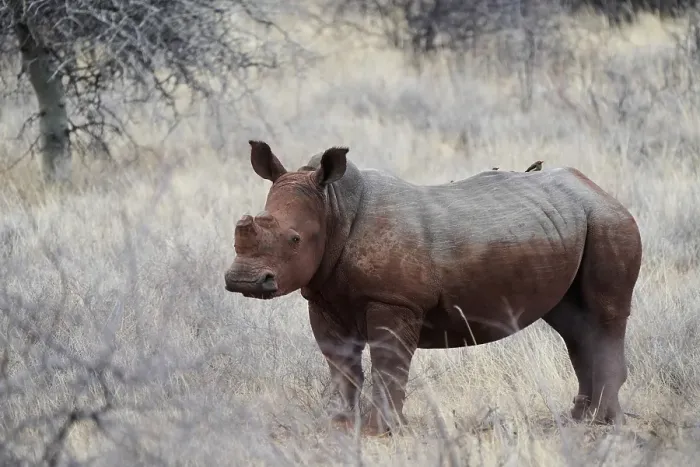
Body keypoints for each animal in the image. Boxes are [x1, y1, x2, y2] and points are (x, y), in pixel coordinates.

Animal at [224, 140, 643, 435]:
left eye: (295, 240)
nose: (243, 280)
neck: (333, 207)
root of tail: (601, 191)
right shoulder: (323, 296)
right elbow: (340, 364)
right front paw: (340, 426)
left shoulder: (395, 301)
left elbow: (389, 363)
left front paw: (381, 431)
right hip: (571, 224)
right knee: (574, 325)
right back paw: (579, 419)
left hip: (608, 222)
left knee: (605, 315)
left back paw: (604, 424)